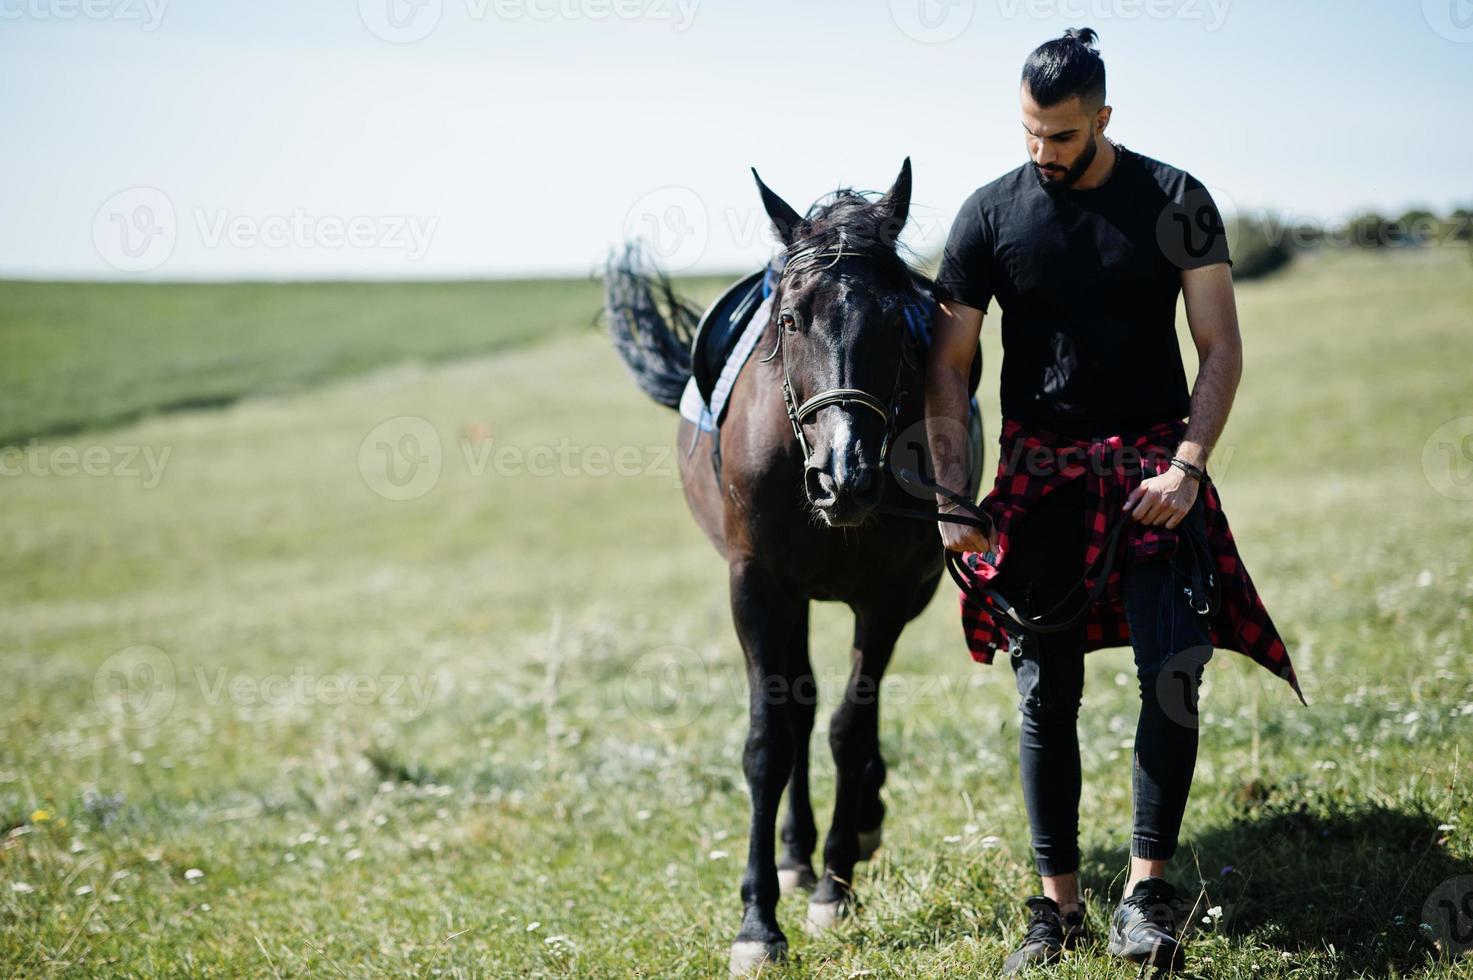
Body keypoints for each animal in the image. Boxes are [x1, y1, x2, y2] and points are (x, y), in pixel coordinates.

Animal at [598, 160, 966, 972]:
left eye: (896, 319)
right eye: (792, 320)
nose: (844, 475)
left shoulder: (891, 595)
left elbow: (849, 728)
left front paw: (836, 885)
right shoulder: (758, 586)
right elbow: (769, 741)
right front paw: (758, 922)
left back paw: (856, 825)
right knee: (795, 708)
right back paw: (799, 852)